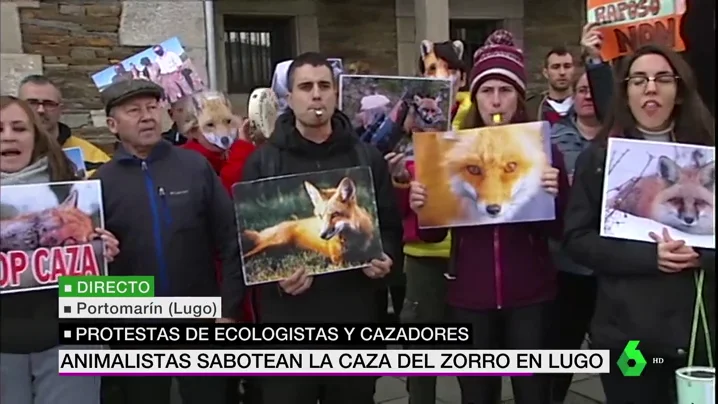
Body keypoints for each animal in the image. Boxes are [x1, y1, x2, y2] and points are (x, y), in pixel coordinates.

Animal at [242, 177, 376, 266]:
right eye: (320, 216)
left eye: (335, 215)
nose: (322, 235)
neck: (354, 241)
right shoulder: (339, 260)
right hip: (274, 243)